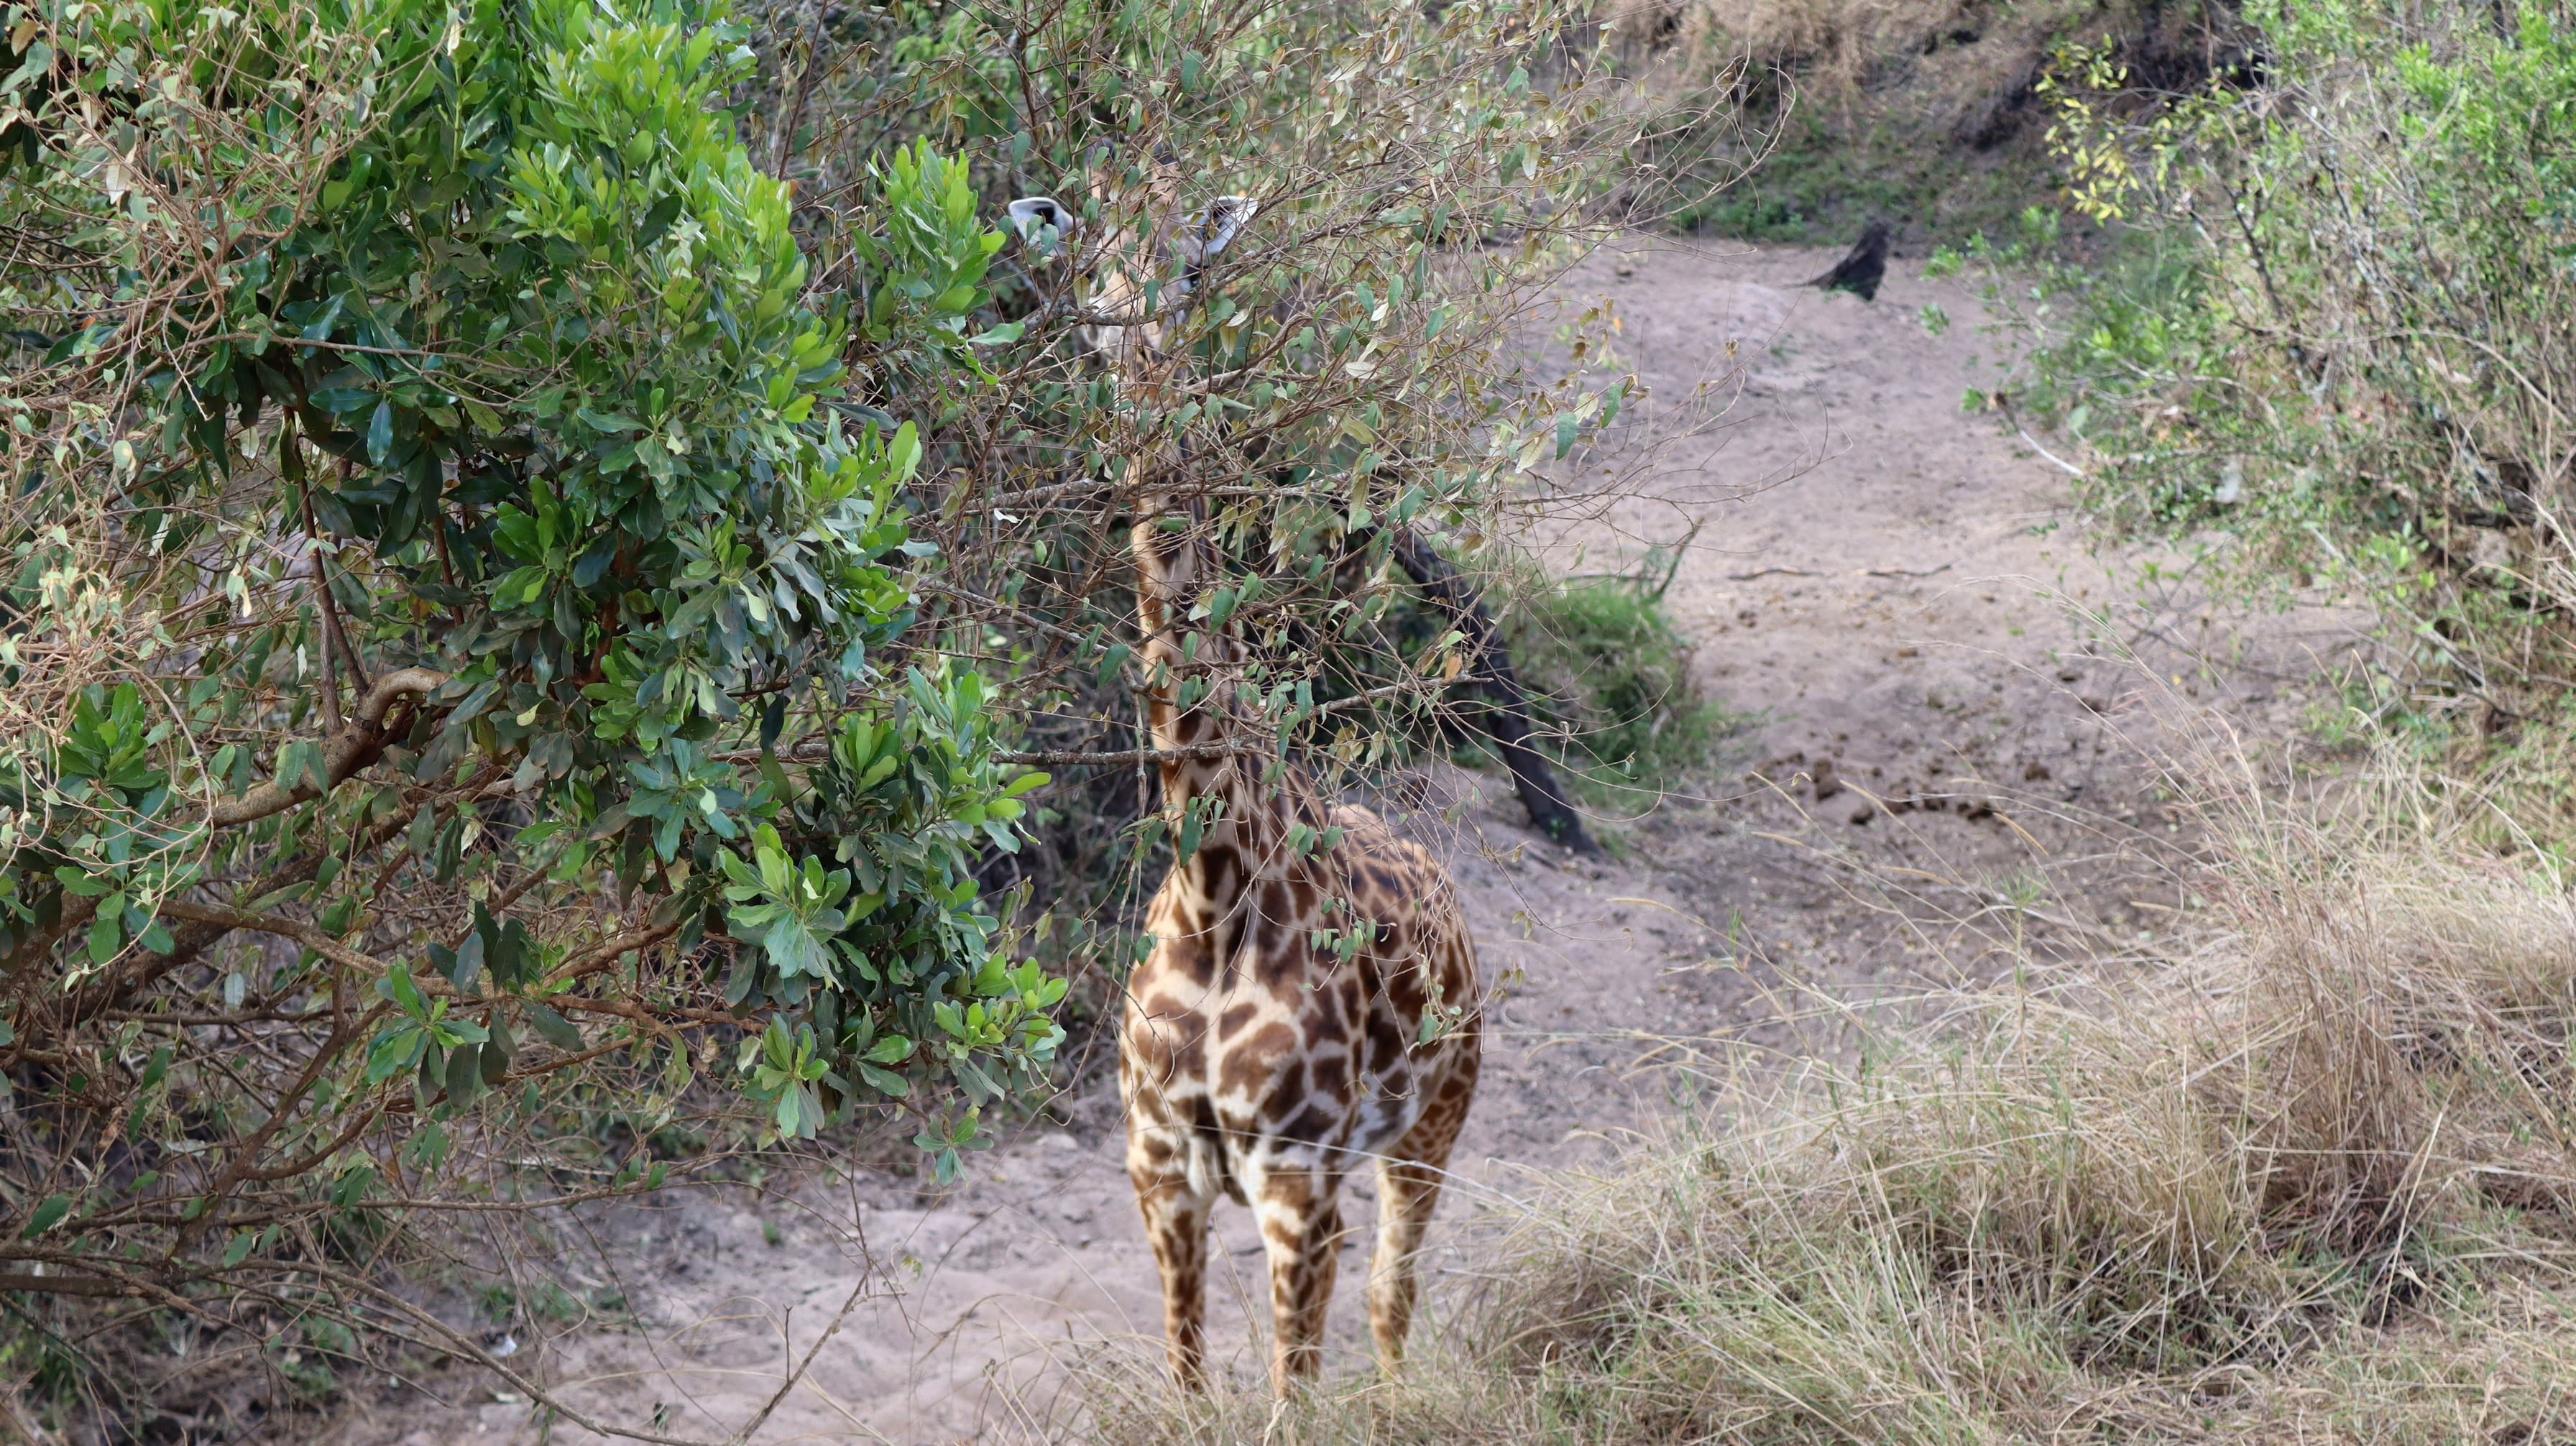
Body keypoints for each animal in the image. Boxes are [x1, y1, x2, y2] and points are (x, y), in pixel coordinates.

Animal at [1009, 156, 1484, 1395]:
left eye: (1190, 262)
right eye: (1088, 269)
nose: (1137, 345)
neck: (1213, 885)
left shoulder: (1297, 1186)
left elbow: (1288, 1401)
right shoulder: (1159, 1173)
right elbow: (1189, 1387)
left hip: (1437, 1120)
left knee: (1394, 1299)